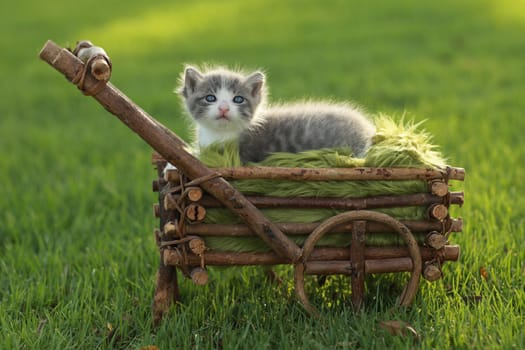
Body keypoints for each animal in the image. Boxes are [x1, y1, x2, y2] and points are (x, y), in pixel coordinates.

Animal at [178, 65, 374, 163]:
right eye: (210, 98)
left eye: (238, 99)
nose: (224, 108)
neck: (219, 134)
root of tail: (368, 131)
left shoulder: (238, 157)